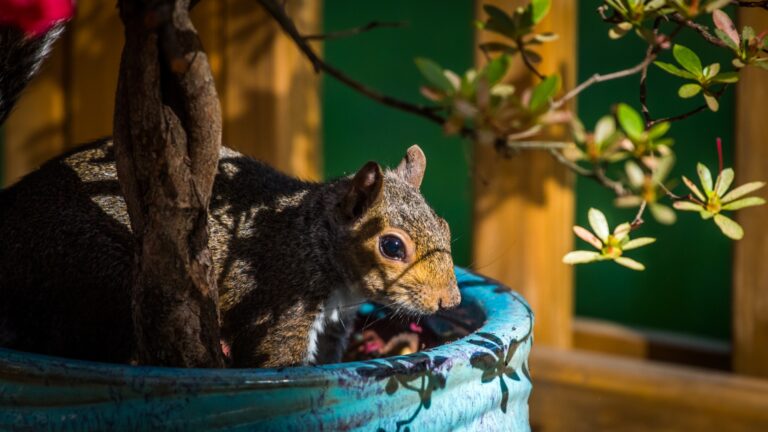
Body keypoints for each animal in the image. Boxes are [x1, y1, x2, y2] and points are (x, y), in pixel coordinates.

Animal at [0, 24, 459, 368]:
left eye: (445, 227)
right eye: (391, 246)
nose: (449, 300)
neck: (311, 242)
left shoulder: (332, 323)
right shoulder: (277, 304)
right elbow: (277, 363)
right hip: (96, 274)